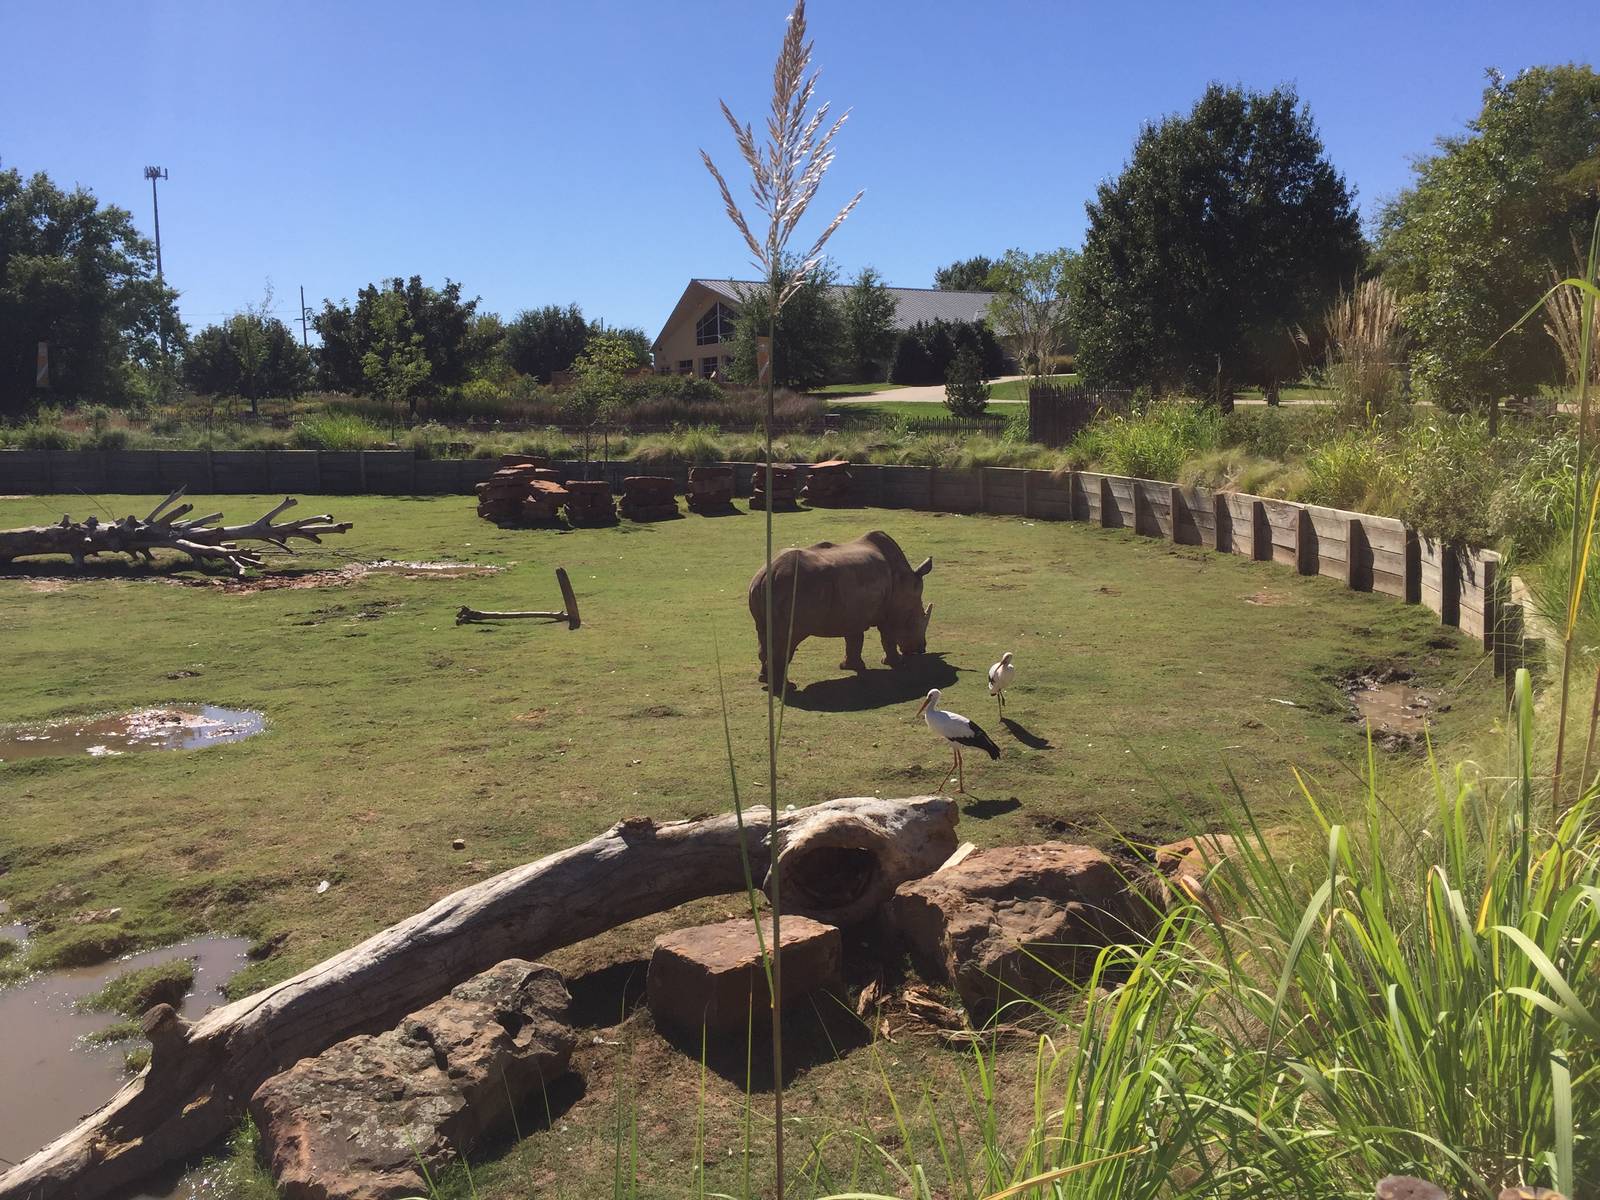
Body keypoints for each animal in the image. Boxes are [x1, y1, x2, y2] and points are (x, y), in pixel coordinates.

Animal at [748, 530, 933, 687]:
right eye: (914, 621)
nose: (921, 649)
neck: (906, 581)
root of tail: (767, 575)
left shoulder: (852, 611)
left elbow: (854, 638)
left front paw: (850, 666)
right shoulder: (889, 612)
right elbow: (887, 636)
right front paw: (895, 663)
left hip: (762, 587)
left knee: (763, 633)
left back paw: (764, 680)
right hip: (789, 588)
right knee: (787, 639)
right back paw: (786, 687)